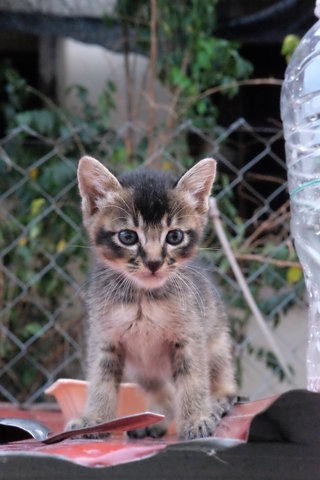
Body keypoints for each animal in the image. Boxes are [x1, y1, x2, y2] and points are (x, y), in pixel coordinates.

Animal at [67, 157, 238, 438]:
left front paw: (196, 419)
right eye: (127, 236)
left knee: (226, 385)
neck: (143, 299)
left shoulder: (189, 337)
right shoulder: (105, 339)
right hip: (144, 371)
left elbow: (192, 380)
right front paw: (94, 420)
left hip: (217, 344)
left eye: (175, 236)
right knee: (163, 392)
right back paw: (156, 420)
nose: (154, 262)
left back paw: (216, 403)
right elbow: (101, 381)